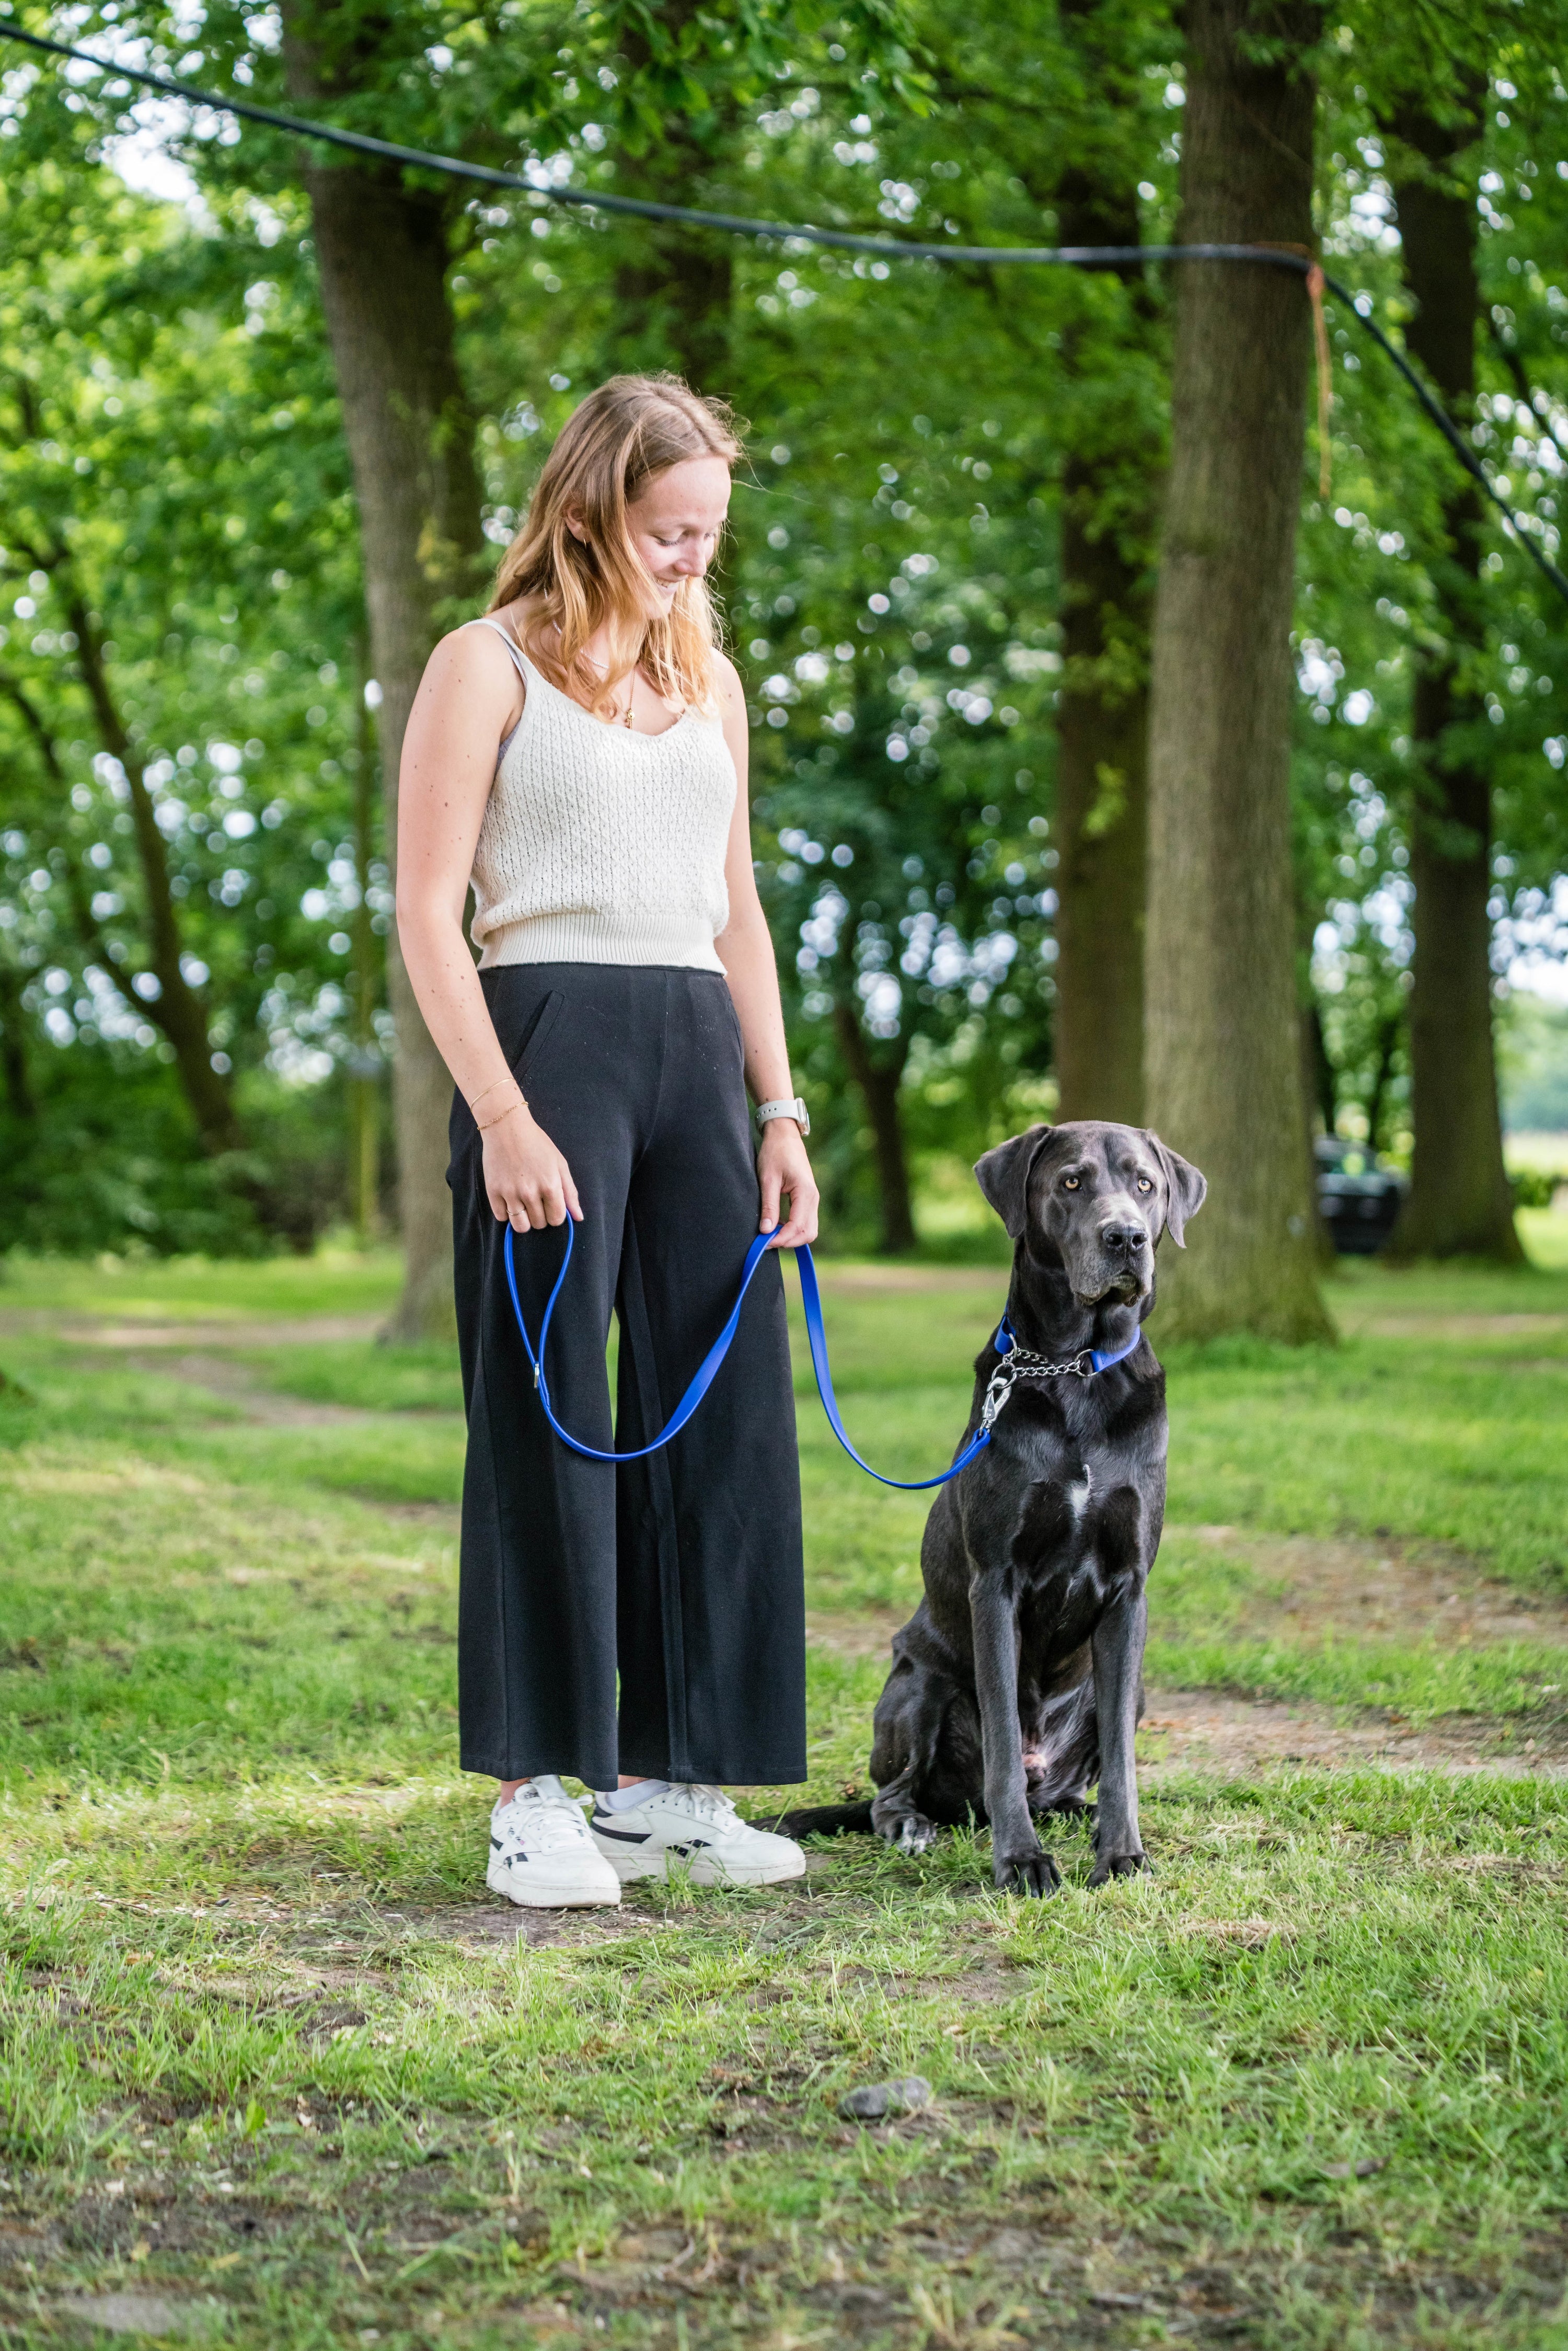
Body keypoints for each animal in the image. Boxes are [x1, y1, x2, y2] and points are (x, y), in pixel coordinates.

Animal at [780, 1114, 1213, 1890]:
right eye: (1071, 1181)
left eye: (1145, 1184)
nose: (1127, 1237)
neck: (1074, 1370)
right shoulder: (996, 1585)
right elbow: (1006, 1744)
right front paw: (1020, 1861)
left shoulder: (1130, 1589)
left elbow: (1123, 1761)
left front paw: (1121, 1851)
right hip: (918, 1683)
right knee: (896, 1793)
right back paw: (915, 1826)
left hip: (1127, 1693)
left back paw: (1074, 1811)